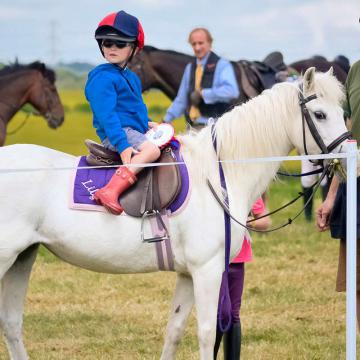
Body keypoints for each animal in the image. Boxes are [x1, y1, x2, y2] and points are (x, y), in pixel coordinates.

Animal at [0, 68, 348, 360]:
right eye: (319, 114)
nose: (347, 153)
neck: (217, 173)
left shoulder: (187, 274)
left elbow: (175, 330)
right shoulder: (207, 270)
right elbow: (207, 333)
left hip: (23, 258)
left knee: (12, 324)